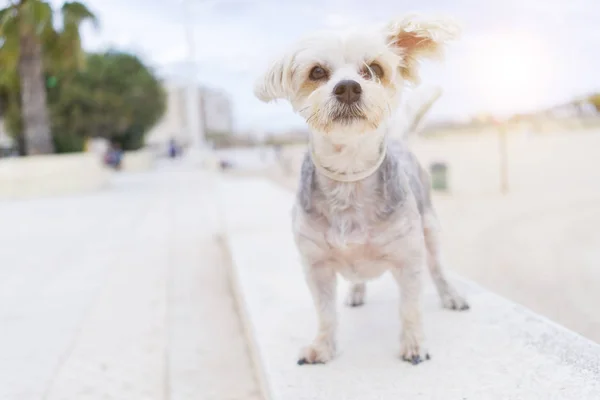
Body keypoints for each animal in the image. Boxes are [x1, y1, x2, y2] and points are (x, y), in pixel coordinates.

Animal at [253, 13, 468, 366]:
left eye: (374, 69)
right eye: (317, 72)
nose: (348, 88)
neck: (349, 176)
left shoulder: (408, 259)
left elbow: (410, 308)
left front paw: (413, 344)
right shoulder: (316, 266)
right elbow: (325, 314)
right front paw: (322, 347)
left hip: (431, 229)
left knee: (438, 270)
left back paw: (451, 295)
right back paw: (355, 291)